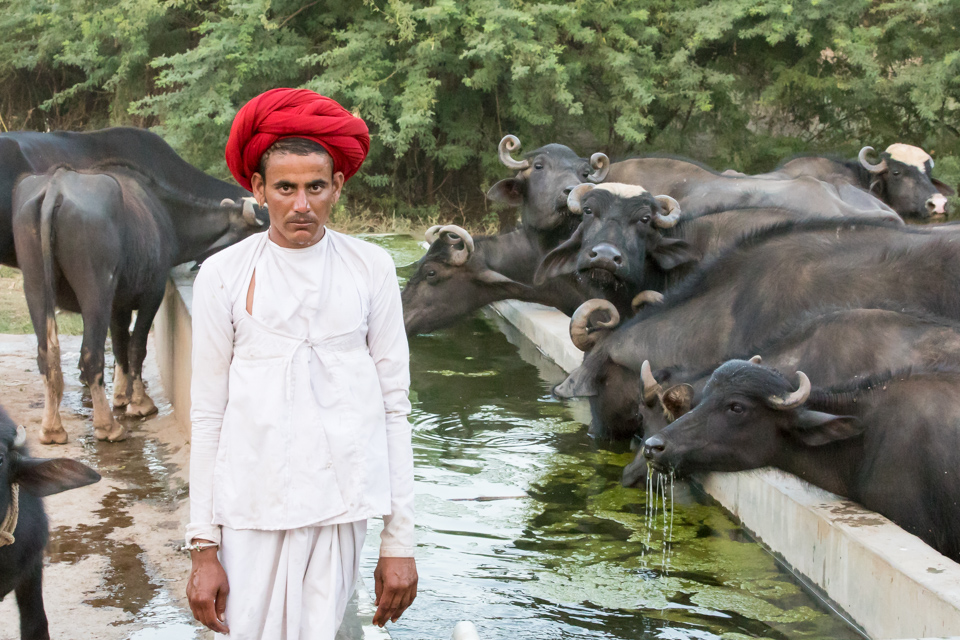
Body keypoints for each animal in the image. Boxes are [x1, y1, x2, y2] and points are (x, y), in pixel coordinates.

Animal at [12, 167, 264, 443]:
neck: (166, 217)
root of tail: (56, 186)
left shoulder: (118, 304)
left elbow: (120, 345)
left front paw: (122, 395)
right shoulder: (152, 293)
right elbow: (136, 346)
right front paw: (140, 403)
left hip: (35, 286)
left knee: (46, 353)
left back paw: (52, 428)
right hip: (96, 289)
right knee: (91, 354)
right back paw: (107, 426)